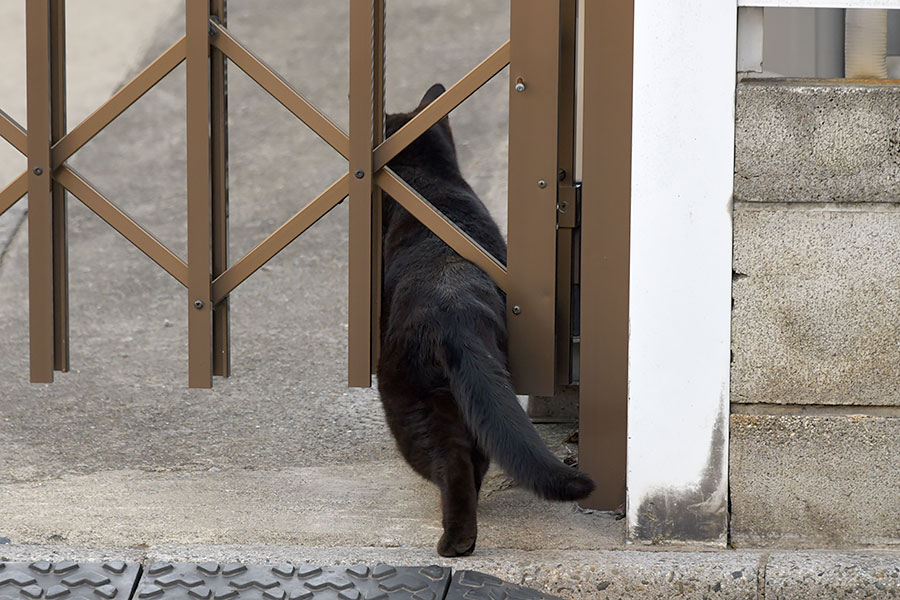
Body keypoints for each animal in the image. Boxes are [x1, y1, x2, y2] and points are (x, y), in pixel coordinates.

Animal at [376, 84, 596, 556]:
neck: (429, 183)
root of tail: (454, 318)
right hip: (464, 400)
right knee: (471, 459)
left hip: (411, 405)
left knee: (451, 464)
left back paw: (454, 542)